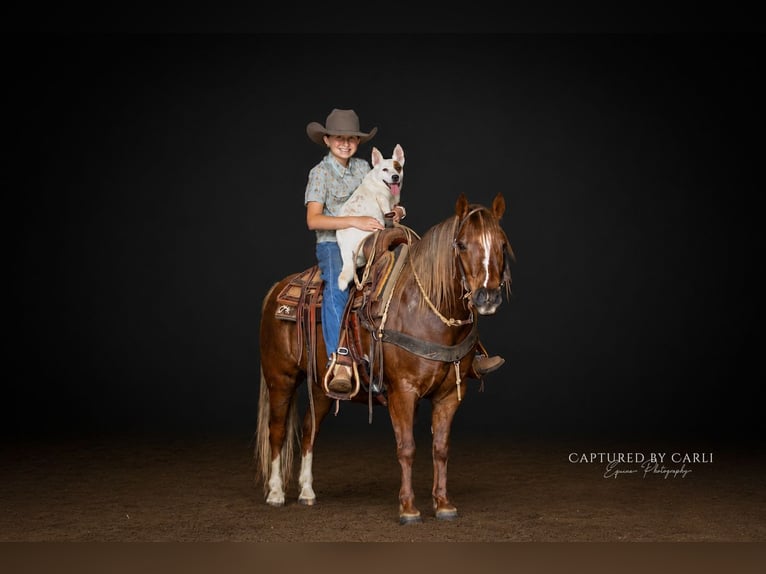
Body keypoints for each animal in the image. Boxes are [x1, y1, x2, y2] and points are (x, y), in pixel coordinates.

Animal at [254, 192, 514, 524]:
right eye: (462, 244)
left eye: (502, 244)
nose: (487, 297)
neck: (426, 310)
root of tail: (278, 289)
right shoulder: (402, 391)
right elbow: (407, 447)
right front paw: (408, 508)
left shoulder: (449, 395)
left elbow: (440, 448)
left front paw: (443, 504)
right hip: (281, 378)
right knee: (276, 430)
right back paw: (275, 493)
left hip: (321, 385)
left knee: (311, 430)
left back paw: (307, 493)